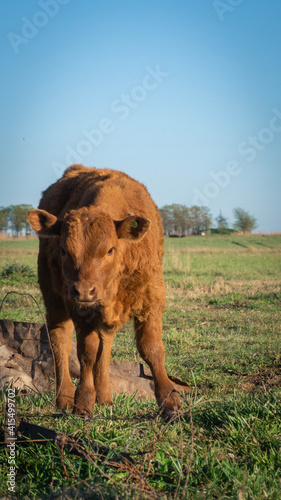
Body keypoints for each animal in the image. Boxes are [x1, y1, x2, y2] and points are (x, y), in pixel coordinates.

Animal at [27, 166, 180, 416]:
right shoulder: (79, 310)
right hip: (54, 297)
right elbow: (86, 353)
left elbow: (152, 349)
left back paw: (105, 396)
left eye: (109, 250)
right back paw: (65, 397)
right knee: (60, 341)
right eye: (63, 250)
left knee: (105, 344)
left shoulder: (151, 299)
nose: (84, 291)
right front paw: (83, 401)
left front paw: (170, 401)